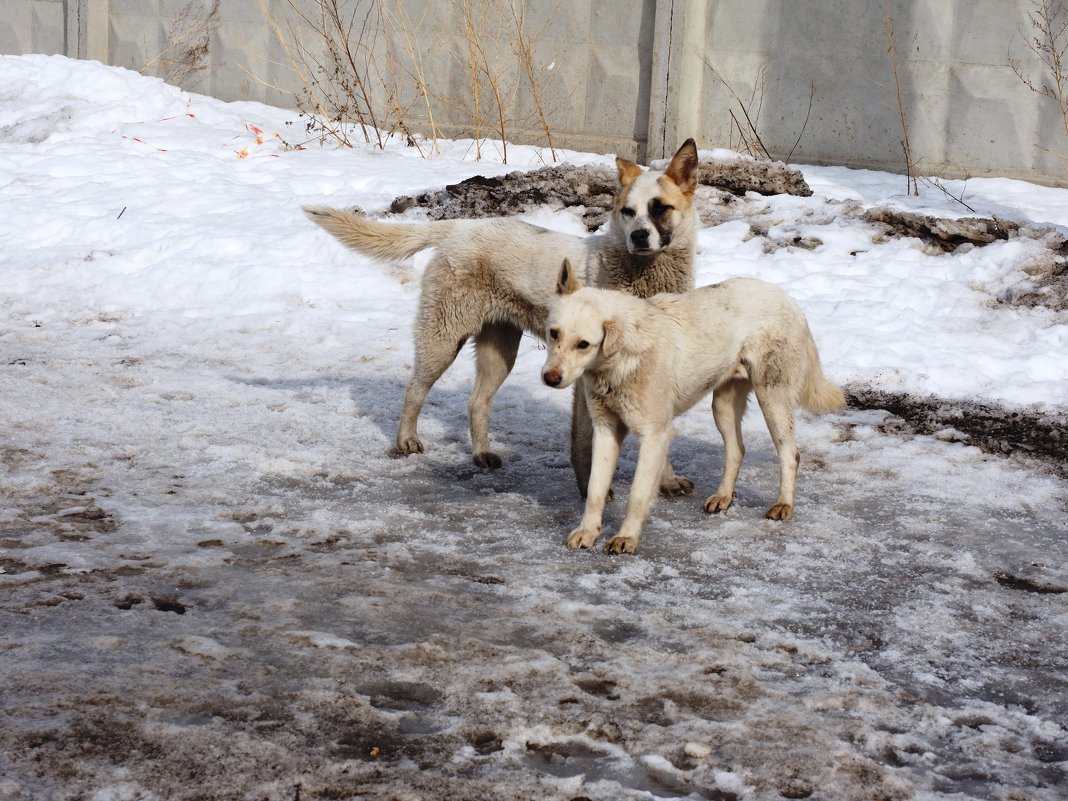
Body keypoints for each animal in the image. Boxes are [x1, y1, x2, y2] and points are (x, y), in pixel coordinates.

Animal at [303, 138, 700, 487]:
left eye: (660, 208)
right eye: (628, 212)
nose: (638, 237)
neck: (640, 272)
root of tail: (462, 227)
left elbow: (657, 435)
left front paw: (666, 480)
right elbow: (585, 442)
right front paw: (589, 486)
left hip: (500, 352)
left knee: (477, 403)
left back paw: (481, 454)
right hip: (443, 338)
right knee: (415, 388)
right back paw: (406, 441)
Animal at [542, 260, 841, 555]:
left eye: (583, 344)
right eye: (554, 333)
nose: (549, 378)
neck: (620, 361)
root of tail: (788, 299)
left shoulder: (655, 435)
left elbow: (638, 494)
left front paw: (626, 537)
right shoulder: (606, 429)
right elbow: (595, 490)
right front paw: (588, 532)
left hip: (773, 399)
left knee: (790, 454)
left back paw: (783, 504)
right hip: (723, 407)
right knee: (737, 450)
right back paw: (723, 497)